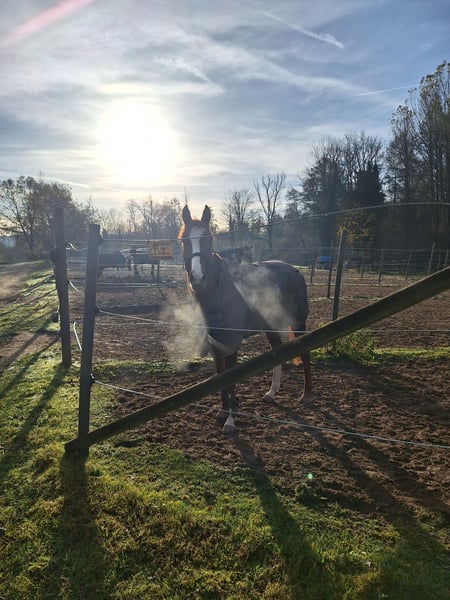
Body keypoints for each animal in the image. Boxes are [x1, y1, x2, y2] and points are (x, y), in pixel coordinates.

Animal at [179, 204, 312, 432]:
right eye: (184, 240)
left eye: (208, 239)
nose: (198, 278)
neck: (221, 292)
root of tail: (295, 271)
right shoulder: (216, 344)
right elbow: (221, 377)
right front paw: (223, 411)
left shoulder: (231, 344)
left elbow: (231, 379)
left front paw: (231, 421)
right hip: (270, 327)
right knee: (276, 351)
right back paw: (271, 393)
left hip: (298, 322)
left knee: (304, 353)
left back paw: (306, 394)